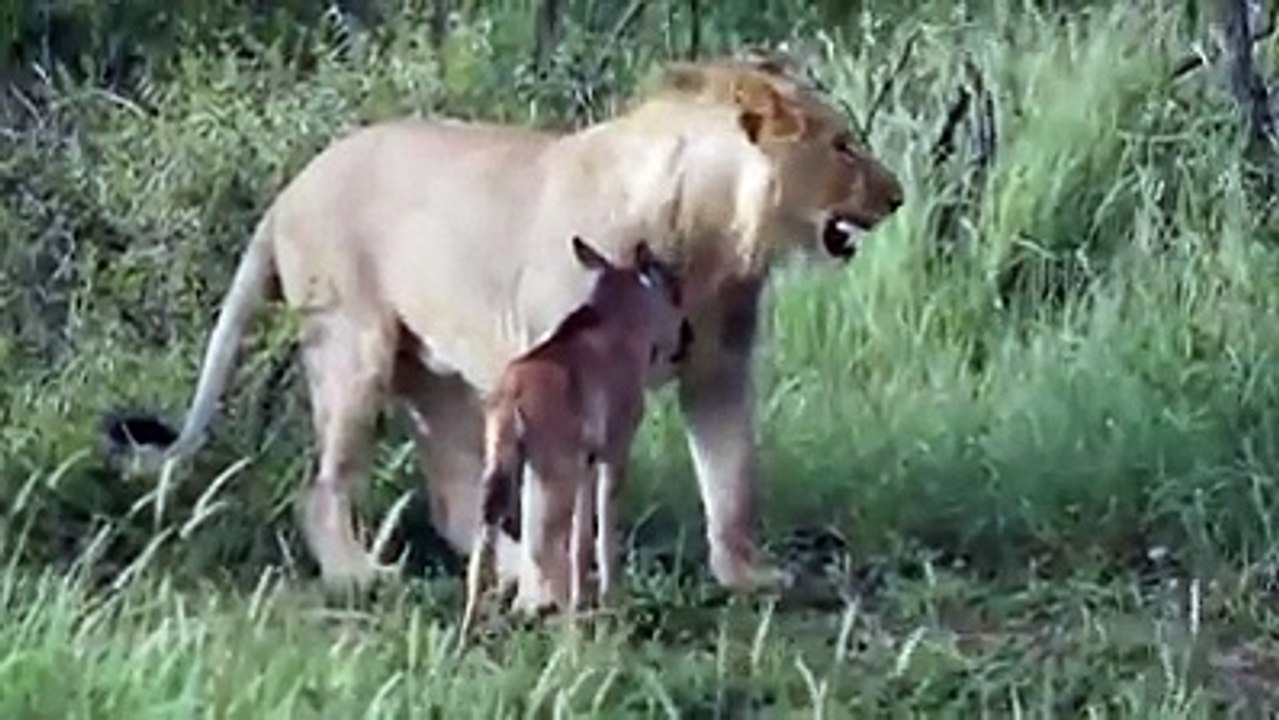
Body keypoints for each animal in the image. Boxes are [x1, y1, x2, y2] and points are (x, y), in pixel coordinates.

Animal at [460, 235, 689, 638]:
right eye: (674, 291)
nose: (686, 337)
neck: (616, 320)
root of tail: (513, 394)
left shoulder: (587, 463)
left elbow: (582, 541)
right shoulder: (614, 452)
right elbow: (604, 531)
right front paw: (612, 602)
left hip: (504, 469)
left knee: (483, 548)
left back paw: (467, 635)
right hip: (553, 474)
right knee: (543, 546)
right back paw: (572, 632)